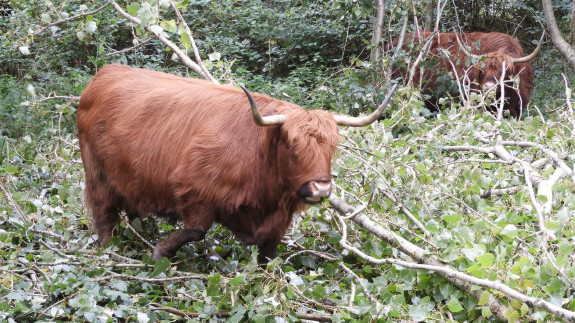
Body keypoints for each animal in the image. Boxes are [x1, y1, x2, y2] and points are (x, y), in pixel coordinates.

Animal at [79, 64, 398, 264]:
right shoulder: (195, 191)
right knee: (104, 215)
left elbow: (268, 256)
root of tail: (106, 73)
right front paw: (161, 252)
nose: (320, 188)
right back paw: (110, 251)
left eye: (333, 146)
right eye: (293, 144)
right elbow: (196, 230)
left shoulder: (276, 223)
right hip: (97, 174)